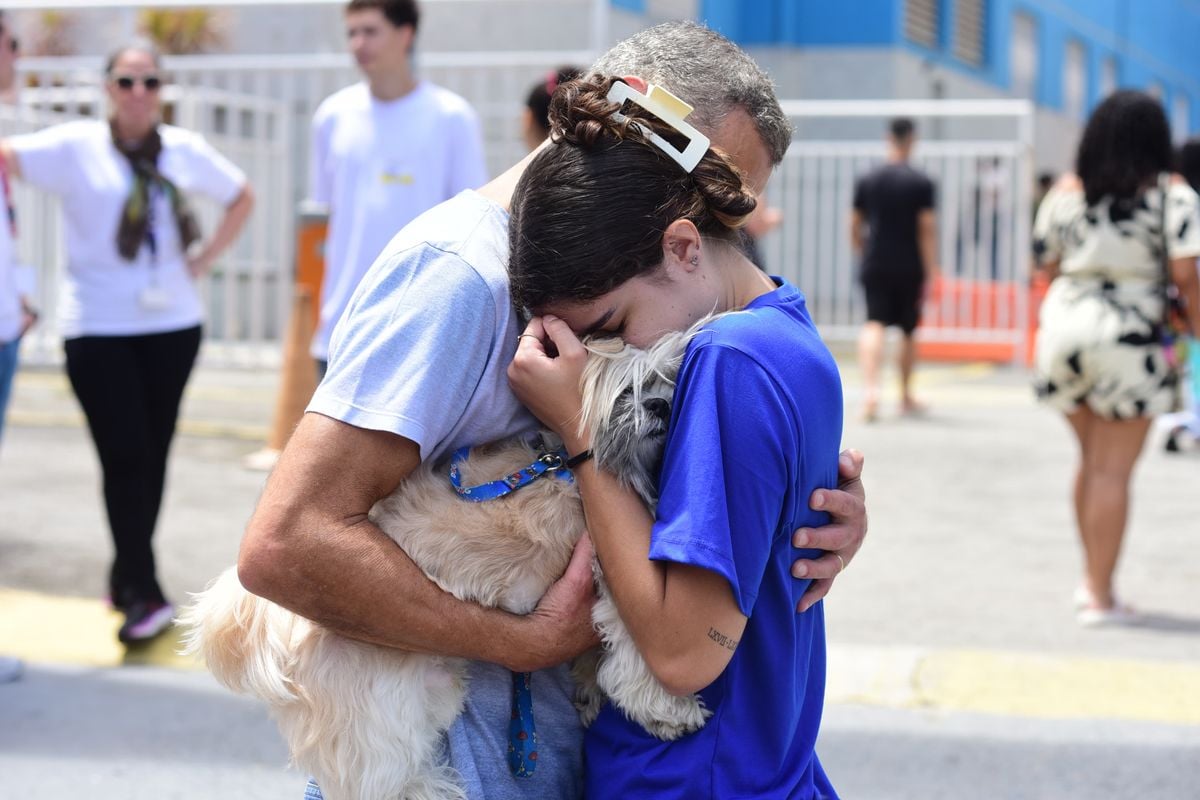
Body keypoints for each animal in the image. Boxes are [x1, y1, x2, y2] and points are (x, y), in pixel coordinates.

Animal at [180, 326, 710, 800]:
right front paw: (668, 708)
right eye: (627, 392)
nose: (660, 405)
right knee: (383, 782)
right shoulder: (613, 576)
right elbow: (639, 655)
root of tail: (271, 619)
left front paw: (587, 687)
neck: (562, 466)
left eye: (667, 380)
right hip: (379, 710)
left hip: (433, 689)